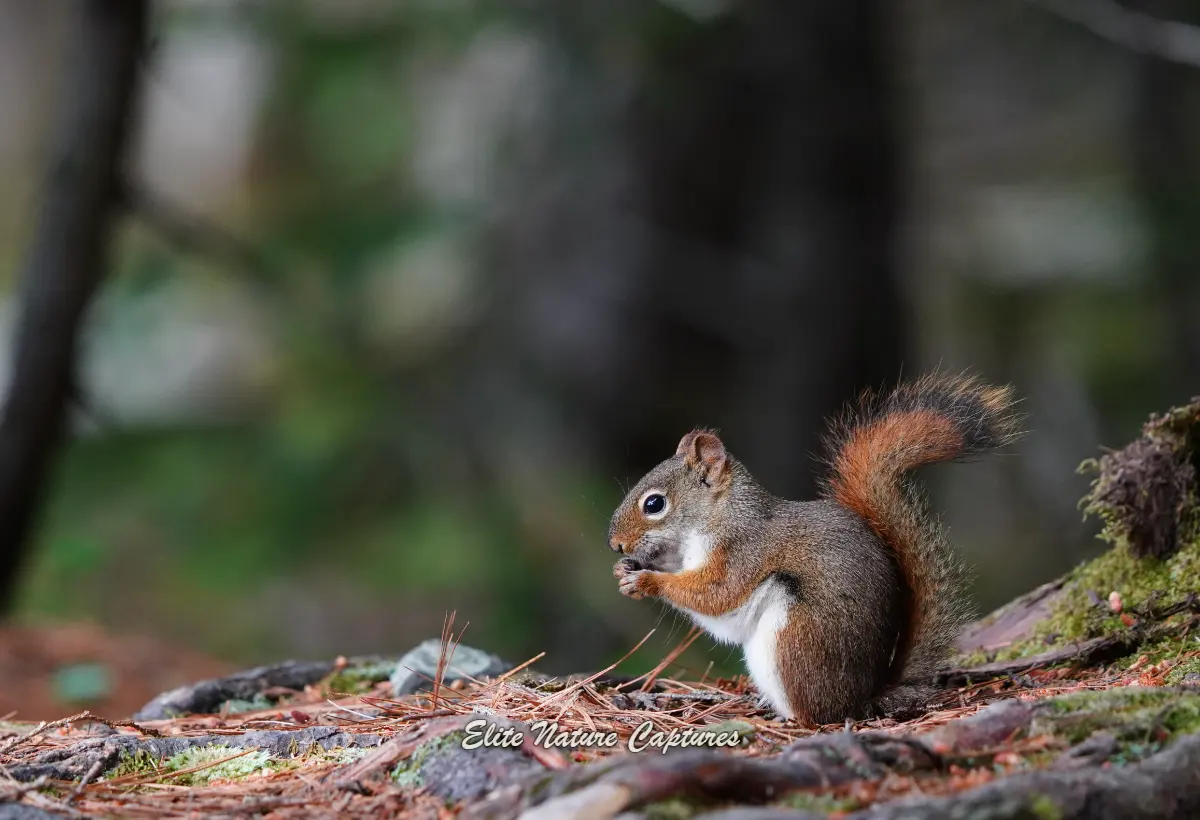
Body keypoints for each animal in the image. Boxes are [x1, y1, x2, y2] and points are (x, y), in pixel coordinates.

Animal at [607, 372, 1023, 725]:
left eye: (655, 504)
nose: (614, 544)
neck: (718, 518)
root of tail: (863, 698)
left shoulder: (744, 553)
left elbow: (716, 595)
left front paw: (647, 582)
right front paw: (625, 571)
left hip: (795, 640)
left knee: (816, 715)